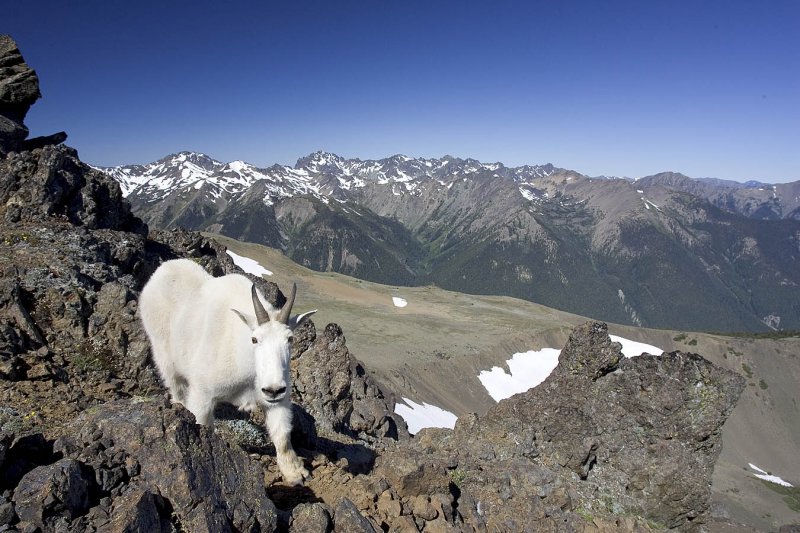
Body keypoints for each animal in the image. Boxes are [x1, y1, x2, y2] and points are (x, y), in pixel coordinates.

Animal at [138, 260, 316, 484]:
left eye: (290, 338)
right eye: (254, 339)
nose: (273, 389)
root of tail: (163, 270)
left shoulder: (277, 399)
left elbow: (282, 434)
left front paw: (295, 473)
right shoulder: (203, 395)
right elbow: (203, 424)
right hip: (163, 353)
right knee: (175, 386)